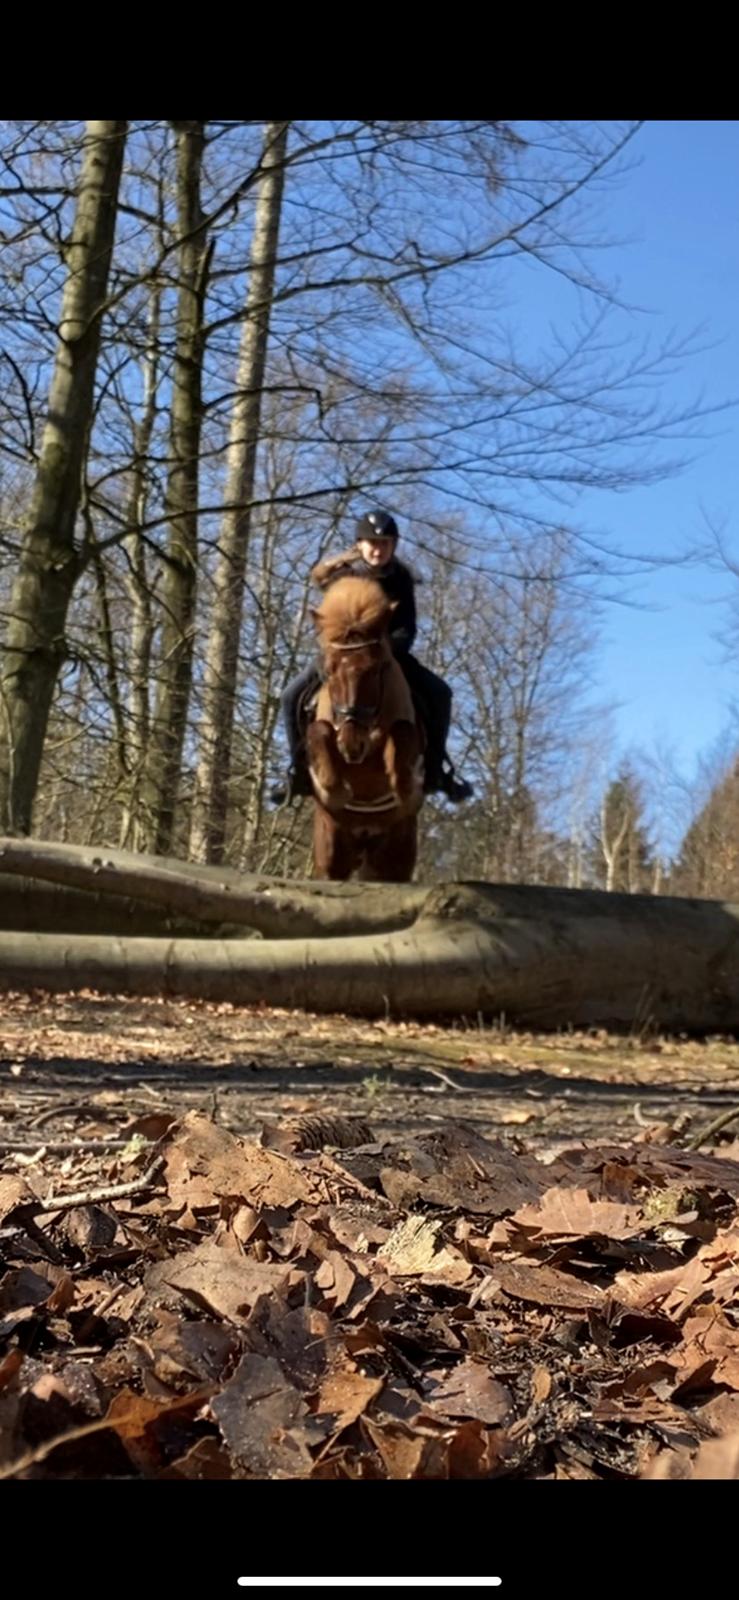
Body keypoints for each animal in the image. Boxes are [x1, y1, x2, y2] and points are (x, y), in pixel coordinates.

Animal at [303, 576, 428, 883]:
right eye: (329, 671)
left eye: (376, 669)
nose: (352, 745)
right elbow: (319, 732)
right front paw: (336, 790)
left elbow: (402, 732)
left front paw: (405, 789)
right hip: (332, 853)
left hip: (395, 857)